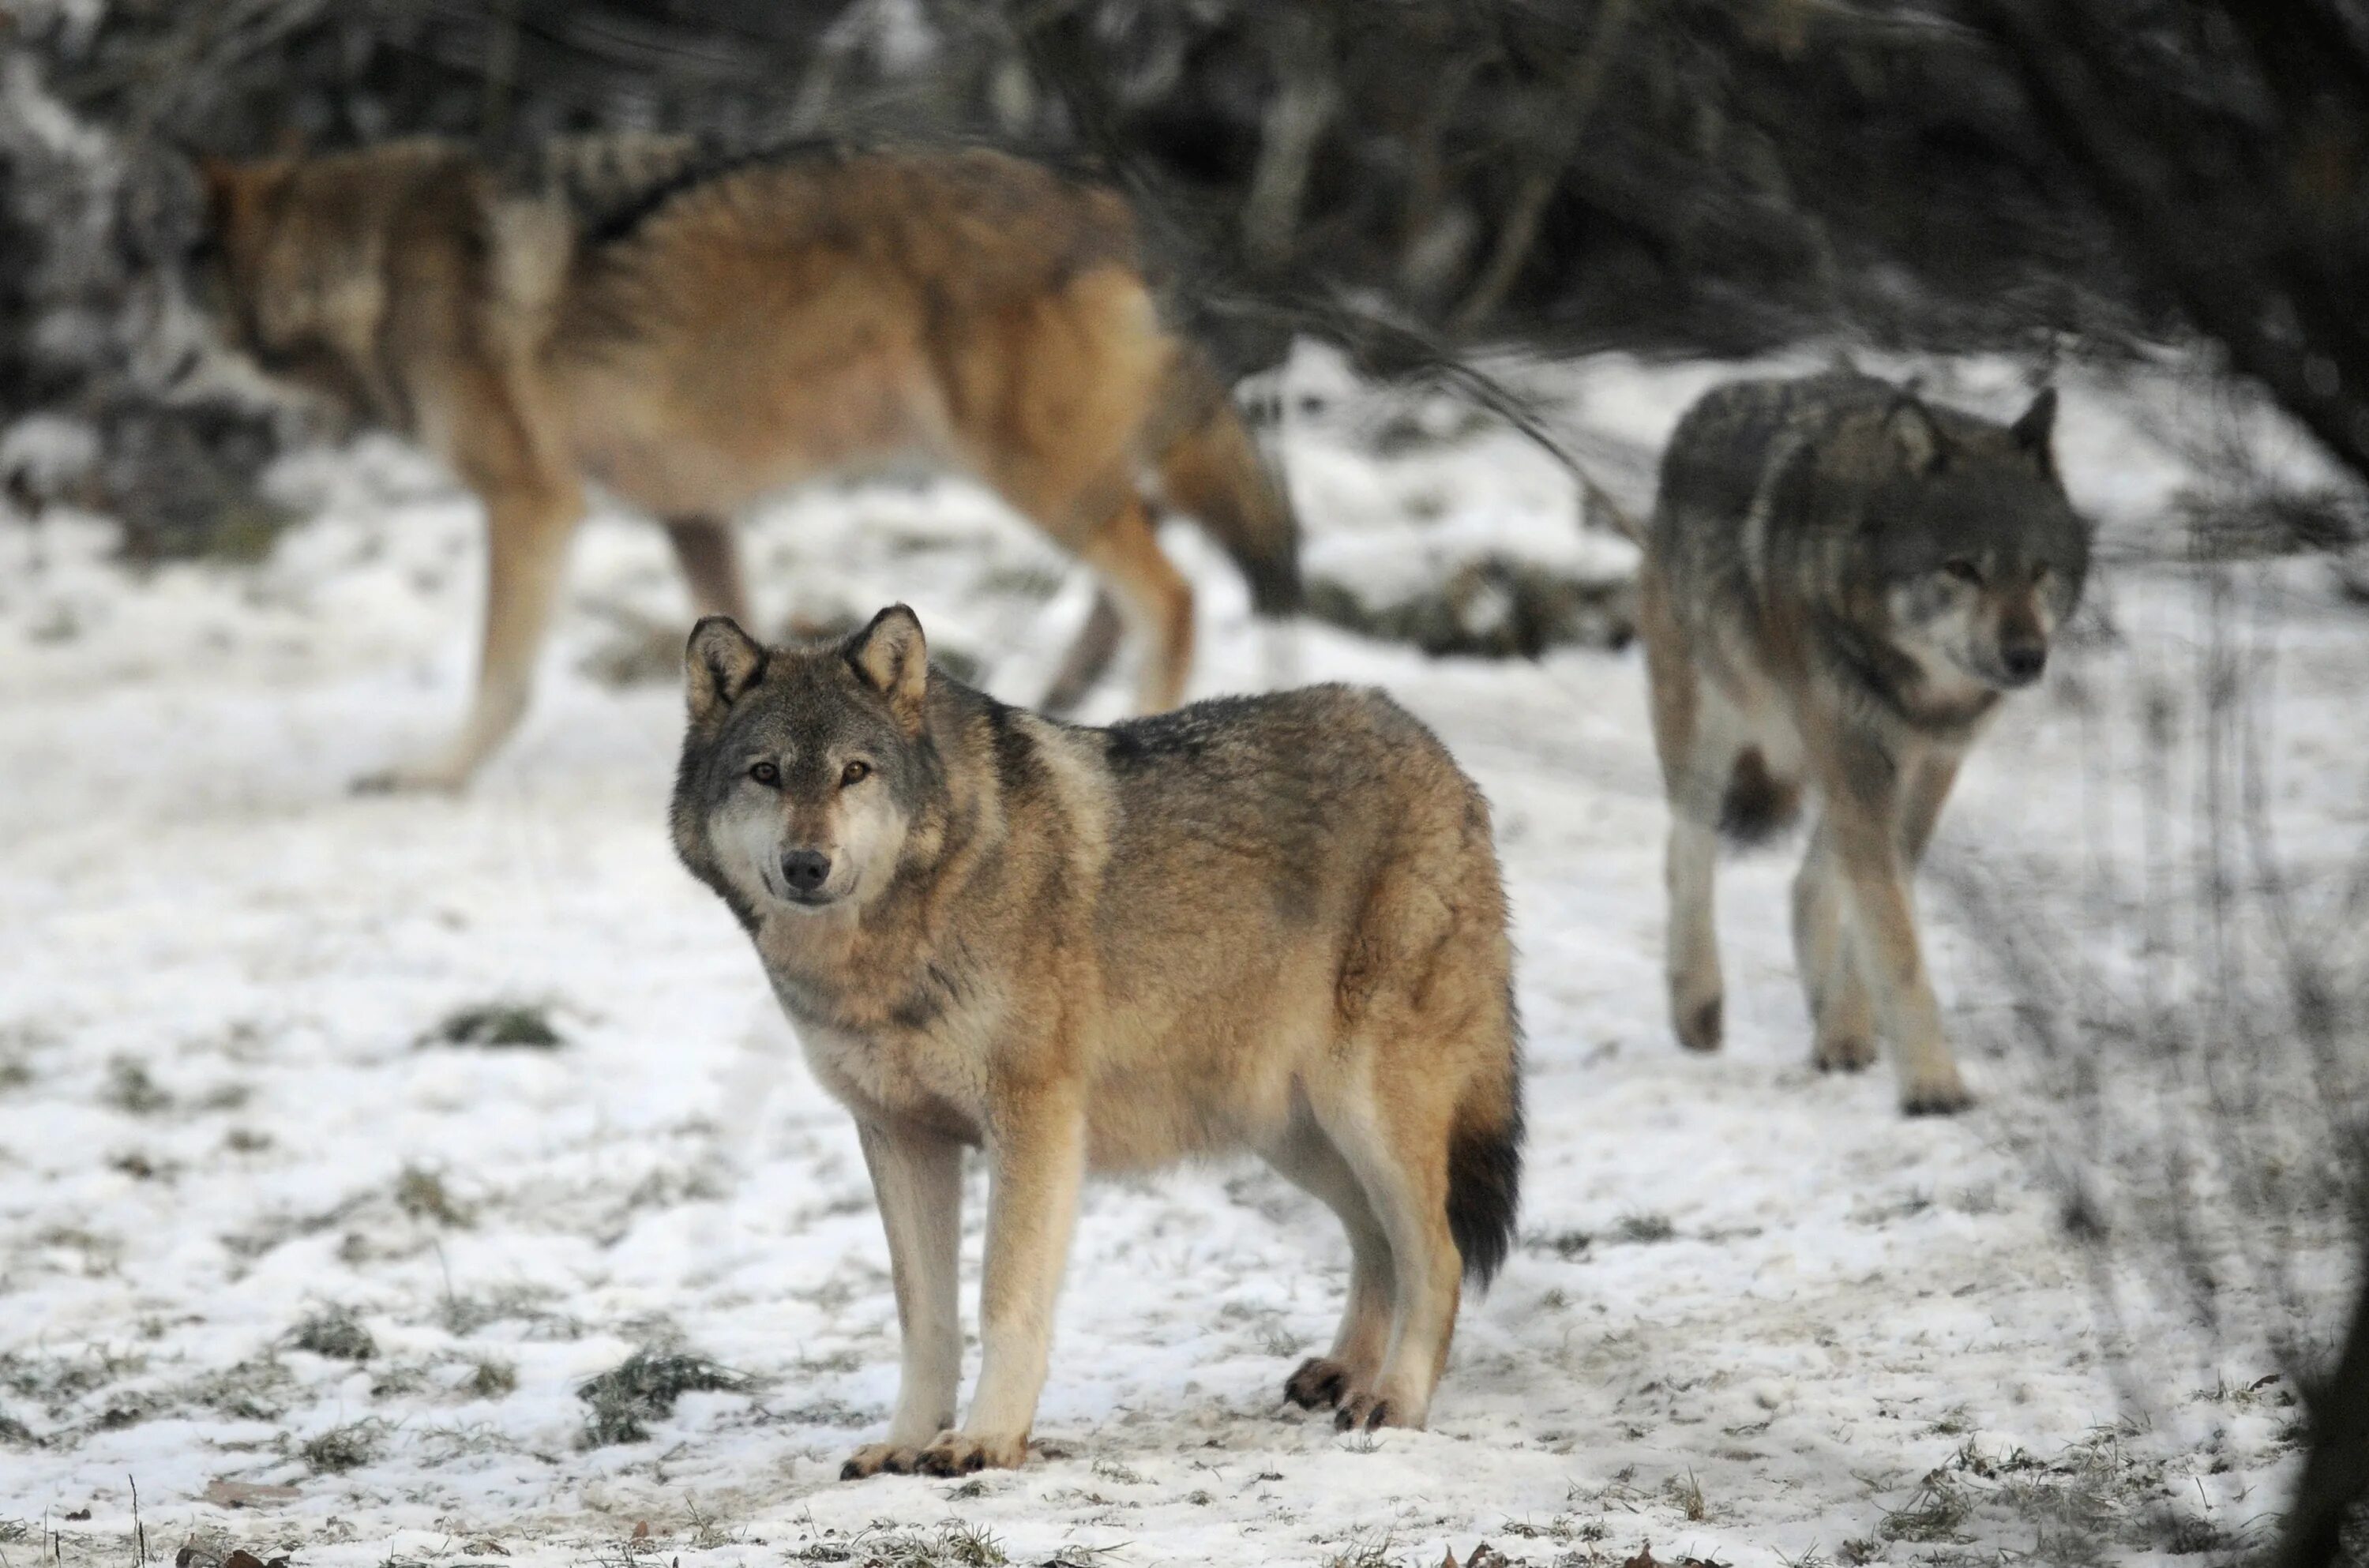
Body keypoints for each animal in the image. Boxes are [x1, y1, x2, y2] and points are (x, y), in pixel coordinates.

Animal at [180, 137, 1298, 791]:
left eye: (187, 299)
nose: (162, 371)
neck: (368, 268)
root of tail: (1115, 213)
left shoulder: (530, 502)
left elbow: (499, 673)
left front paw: (434, 773)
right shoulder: (694, 514)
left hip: (1035, 474)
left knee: (1171, 595)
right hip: (1066, 476)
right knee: (1141, 583)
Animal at [673, 606, 1516, 1478]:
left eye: (854, 772)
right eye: (766, 773)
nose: (807, 864)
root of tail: (1431, 746)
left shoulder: (1033, 1123)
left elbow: (1003, 1299)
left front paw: (984, 1441)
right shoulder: (899, 1135)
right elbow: (923, 1319)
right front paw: (904, 1443)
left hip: (1363, 1111)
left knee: (1440, 1256)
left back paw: (1394, 1402)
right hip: (1288, 1131)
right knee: (1376, 1238)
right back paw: (1345, 1373)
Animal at [1639, 372, 2085, 1118]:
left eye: (2039, 570)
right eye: (1962, 568)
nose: (2026, 657)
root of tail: (1707, 402)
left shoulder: (1930, 764)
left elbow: (1872, 920)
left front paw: (1847, 1032)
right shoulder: (1853, 752)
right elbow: (1892, 935)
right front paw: (1933, 1085)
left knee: (1806, 882)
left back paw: (1827, 1015)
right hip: (1714, 723)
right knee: (1686, 848)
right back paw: (1696, 1003)